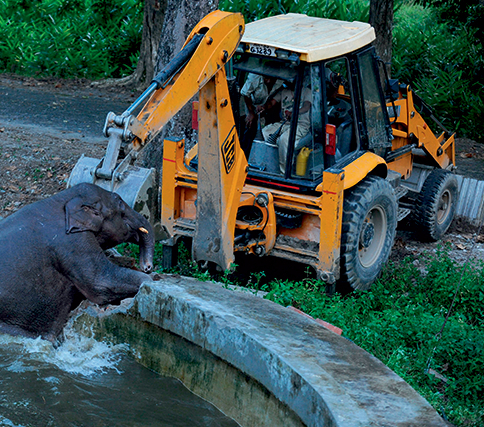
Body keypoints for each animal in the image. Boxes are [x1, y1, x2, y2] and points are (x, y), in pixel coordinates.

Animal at [0, 182, 155, 342]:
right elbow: (100, 283)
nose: (147, 266)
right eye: (119, 202)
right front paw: (148, 281)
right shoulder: (71, 242)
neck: (62, 198)